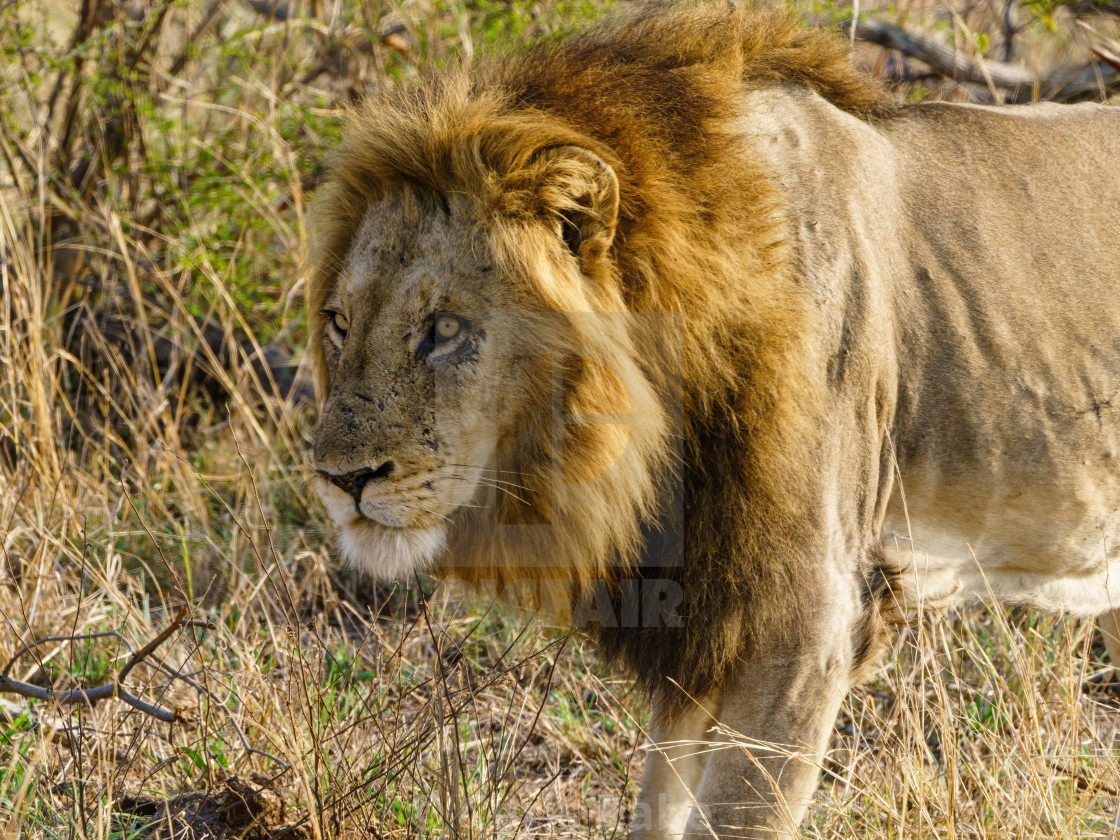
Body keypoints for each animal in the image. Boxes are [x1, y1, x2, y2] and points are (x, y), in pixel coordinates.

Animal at [306, 3, 1120, 837]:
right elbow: (658, 807)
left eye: (442, 328)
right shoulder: (700, 622)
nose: (342, 478)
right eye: (339, 322)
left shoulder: (810, 628)